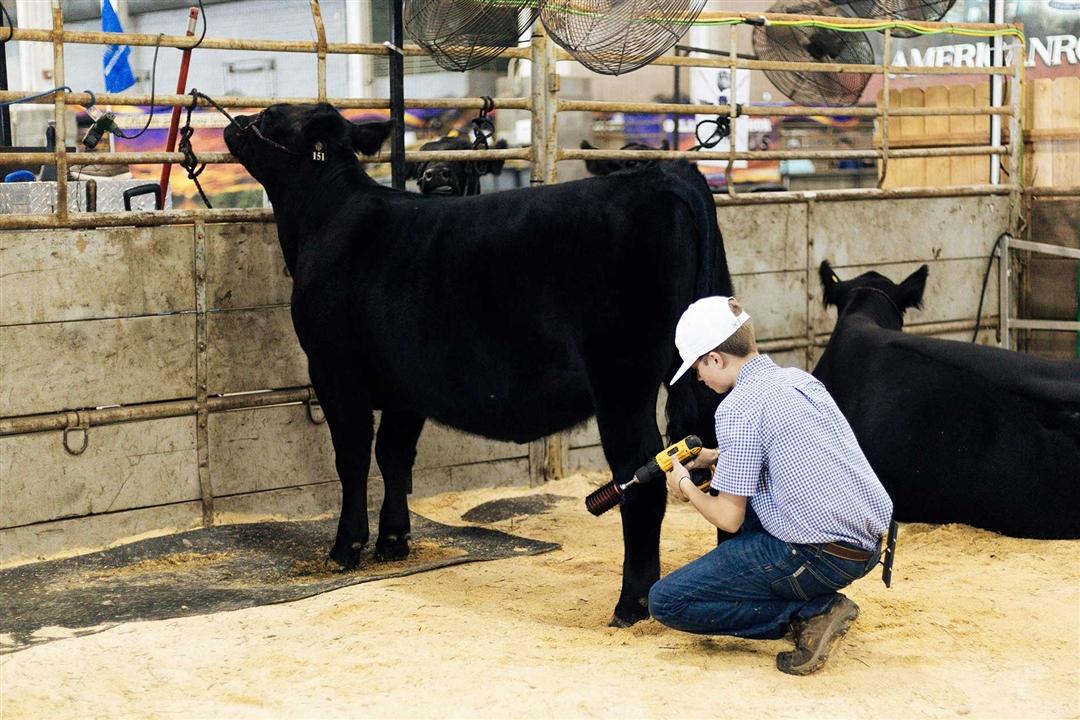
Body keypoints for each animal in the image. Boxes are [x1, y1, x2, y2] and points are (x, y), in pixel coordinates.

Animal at [227, 102, 734, 626]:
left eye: (269, 116)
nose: (233, 123)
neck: (326, 216)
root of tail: (663, 176)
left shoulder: (332, 370)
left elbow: (352, 459)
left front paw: (345, 548)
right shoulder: (406, 384)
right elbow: (394, 455)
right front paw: (394, 540)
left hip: (622, 381)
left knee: (644, 478)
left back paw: (630, 605)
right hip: (700, 374)